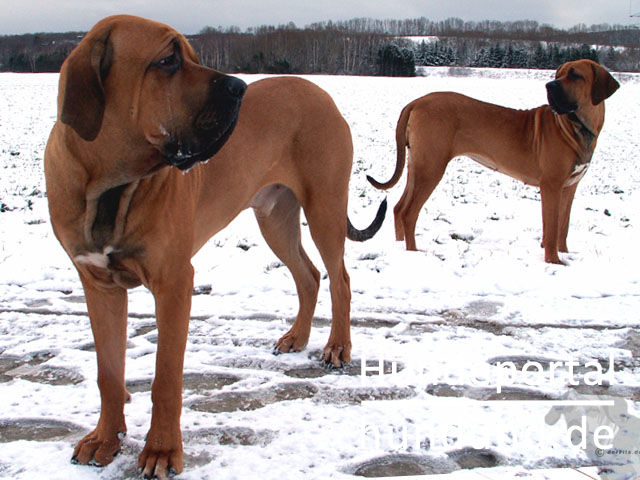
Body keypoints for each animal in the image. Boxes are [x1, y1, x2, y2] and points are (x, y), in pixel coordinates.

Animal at [45, 14, 388, 476]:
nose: (239, 87)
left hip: (325, 207)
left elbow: (166, 377)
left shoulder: (174, 282)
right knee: (309, 275)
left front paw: (161, 452)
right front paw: (105, 439)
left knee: (340, 279)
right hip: (274, 217)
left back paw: (337, 347)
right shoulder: (99, 285)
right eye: (168, 60)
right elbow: (108, 373)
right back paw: (296, 338)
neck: (110, 186)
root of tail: (322, 93)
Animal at [368, 59, 616, 266]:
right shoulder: (551, 186)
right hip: (431, 167)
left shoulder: (569, 187)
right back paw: (413, 254)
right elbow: (552, 228)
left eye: (574, 75)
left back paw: (400, 246)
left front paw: (564, 253)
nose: (549, 85)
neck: (577, 127)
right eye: (559, 74)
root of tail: (416, 102)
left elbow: (563, 226)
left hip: (417, 166)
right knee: (409, 213)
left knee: (399, 208)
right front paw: (554, 261)